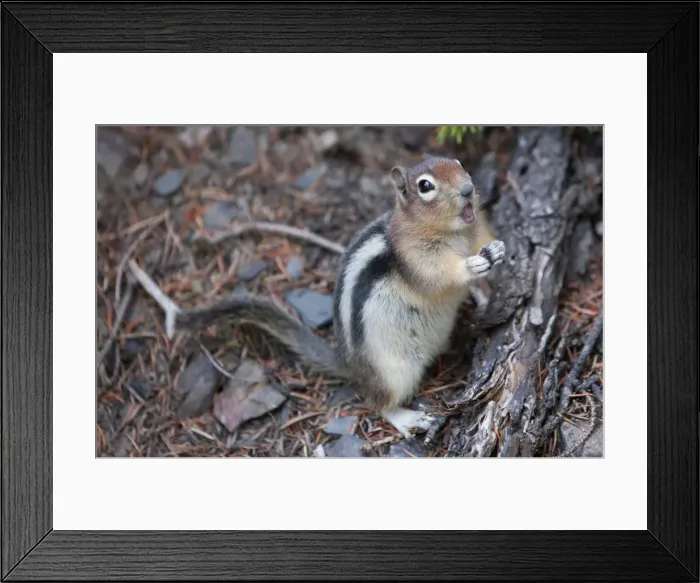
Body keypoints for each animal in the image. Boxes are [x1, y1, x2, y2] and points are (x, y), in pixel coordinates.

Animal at [171, 154, 506, 439]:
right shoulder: (417, 259)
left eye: (458, 162)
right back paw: (407, 417)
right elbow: (438, 277)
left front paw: (499, 249)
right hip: (394, 371)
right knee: (378, 402)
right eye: (426, 186)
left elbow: (487, 239)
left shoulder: (477, 230)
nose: (468, 189)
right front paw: (471, 265)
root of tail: (349, 363)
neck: (455, 234)